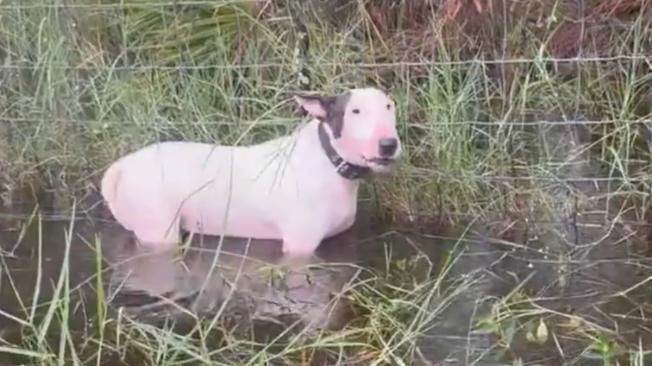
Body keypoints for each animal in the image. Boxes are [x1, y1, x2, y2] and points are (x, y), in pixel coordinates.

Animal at [100, 87, 402, 256]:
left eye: (389, 106)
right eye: (355, 111)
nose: (389, 145)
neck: (329, 161)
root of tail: (121, 167)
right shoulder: (299, 246)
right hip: (158, 229)